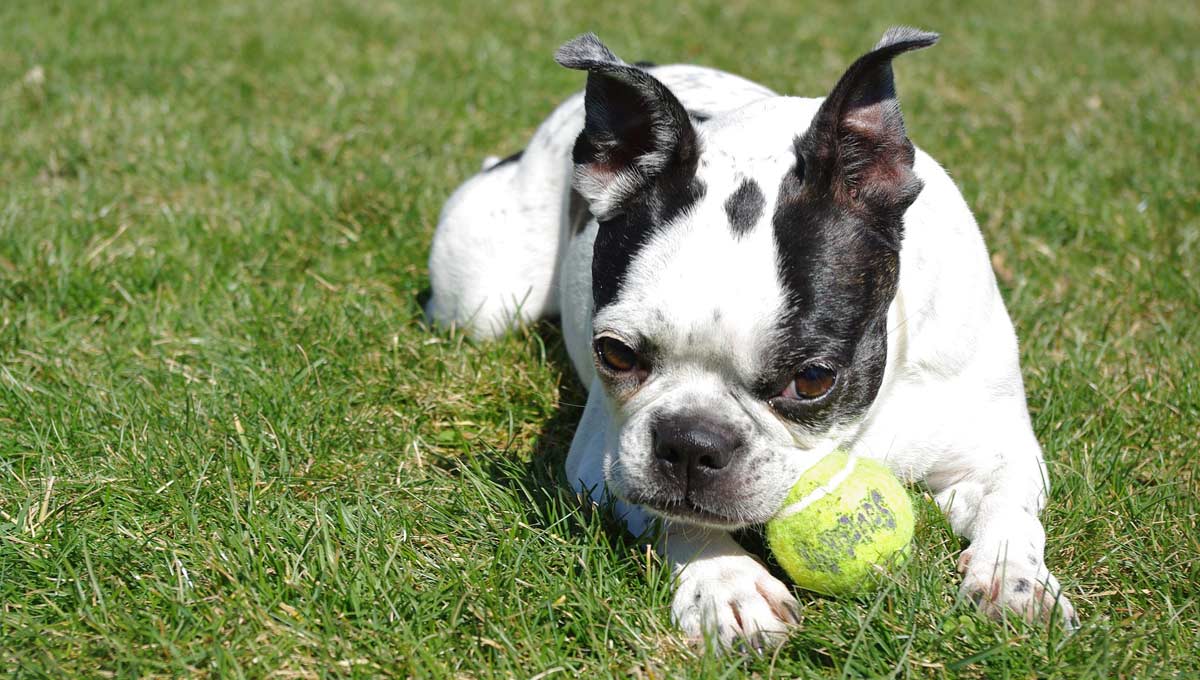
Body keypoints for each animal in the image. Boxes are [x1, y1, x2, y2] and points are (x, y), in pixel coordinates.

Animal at [424, 29, 1080, 652]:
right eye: (614, 353)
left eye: (812, 379)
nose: (690, 443)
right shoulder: (603, 461)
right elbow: (678, 517)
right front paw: (727, 584)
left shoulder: (1001, 452)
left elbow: (1009, 509)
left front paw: (1014, 581)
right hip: (485, 300)